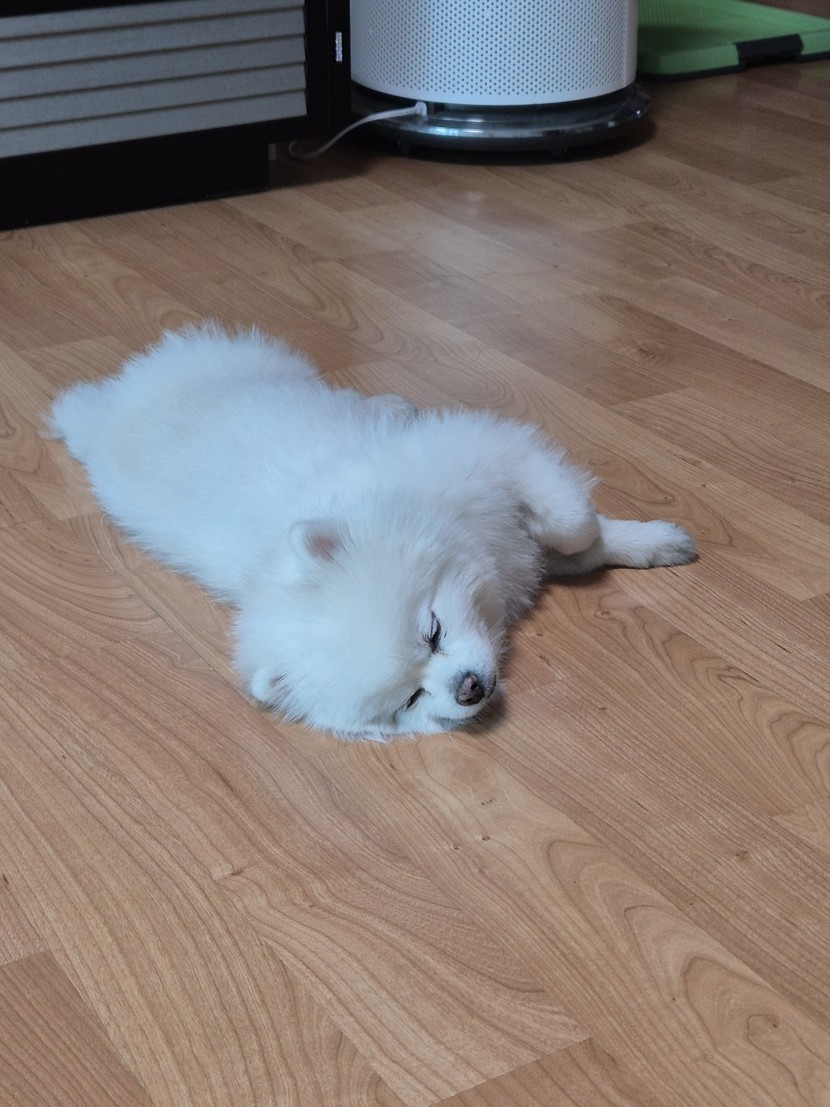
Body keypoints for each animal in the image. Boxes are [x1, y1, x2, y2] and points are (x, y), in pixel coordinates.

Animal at [48, 323, 696, 740]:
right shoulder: (504, 535)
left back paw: (391, 405)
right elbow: (574, 545)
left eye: (432, 631)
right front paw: (640, 545)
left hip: (270, 366)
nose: (468, 688)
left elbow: (574, 524)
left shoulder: (494, 459)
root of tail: (107, 410)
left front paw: (648, 540)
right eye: (411, 697)